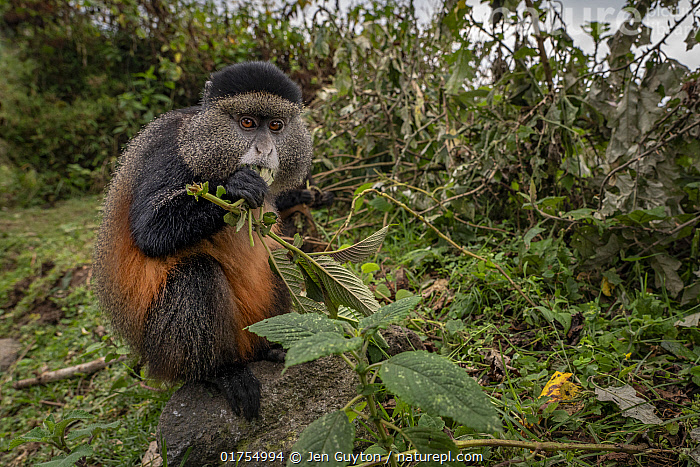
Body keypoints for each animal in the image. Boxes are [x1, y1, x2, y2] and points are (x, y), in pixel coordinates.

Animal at [92, 62, 312, 420]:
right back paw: (223, 372)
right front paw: (238, 188)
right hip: (167, 352)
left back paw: (268, 348)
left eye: (276, 126)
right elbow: (149, 232)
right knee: (195, 276)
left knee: (276, 259)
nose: (265, 150)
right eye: (247, 123)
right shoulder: (168, 150)